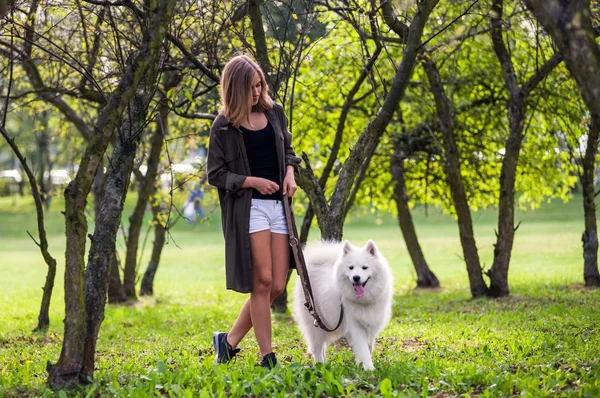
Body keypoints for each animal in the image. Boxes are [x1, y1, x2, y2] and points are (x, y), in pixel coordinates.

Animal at [294, 238, 394, 372]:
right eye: (351, 268)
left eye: (365, 267)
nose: (356, 277)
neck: (363, 301)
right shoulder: (355, 327)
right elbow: (363, 349)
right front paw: (369, 368)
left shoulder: (371, 326)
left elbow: (368, 348)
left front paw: (362, 365)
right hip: (315, 325)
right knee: (317, 349)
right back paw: (320, 366)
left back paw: (325, 365)